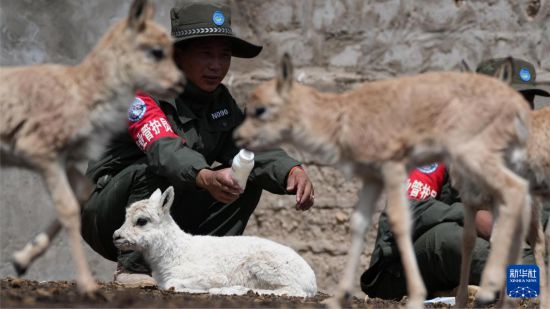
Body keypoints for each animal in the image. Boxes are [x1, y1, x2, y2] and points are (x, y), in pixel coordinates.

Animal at [0, 0, 185, 294]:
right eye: (156, 51)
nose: (180, 83)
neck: (81, 92)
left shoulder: (65, 159)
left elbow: (83, 191)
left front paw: (21, 260)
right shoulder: (41, 152)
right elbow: (66, 207)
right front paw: (88, 286)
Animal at [112, 185, 320, 296]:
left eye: (142, 221)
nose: (116, 236)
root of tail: (311, 280)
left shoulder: (210, 275)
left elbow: (173, 284)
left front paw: (209, 290)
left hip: (268, 266)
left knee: (293, 291)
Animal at [236, 53, 536, 306]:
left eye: (261, 109)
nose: (237, 137)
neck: (342, 118)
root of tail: (518, 108)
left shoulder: (393, 166)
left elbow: (401, 221)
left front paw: (416, 297)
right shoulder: (372, 177)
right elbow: (359, 224)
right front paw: (337, 299)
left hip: (477, 158)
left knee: (513, 194)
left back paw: (488, 290)